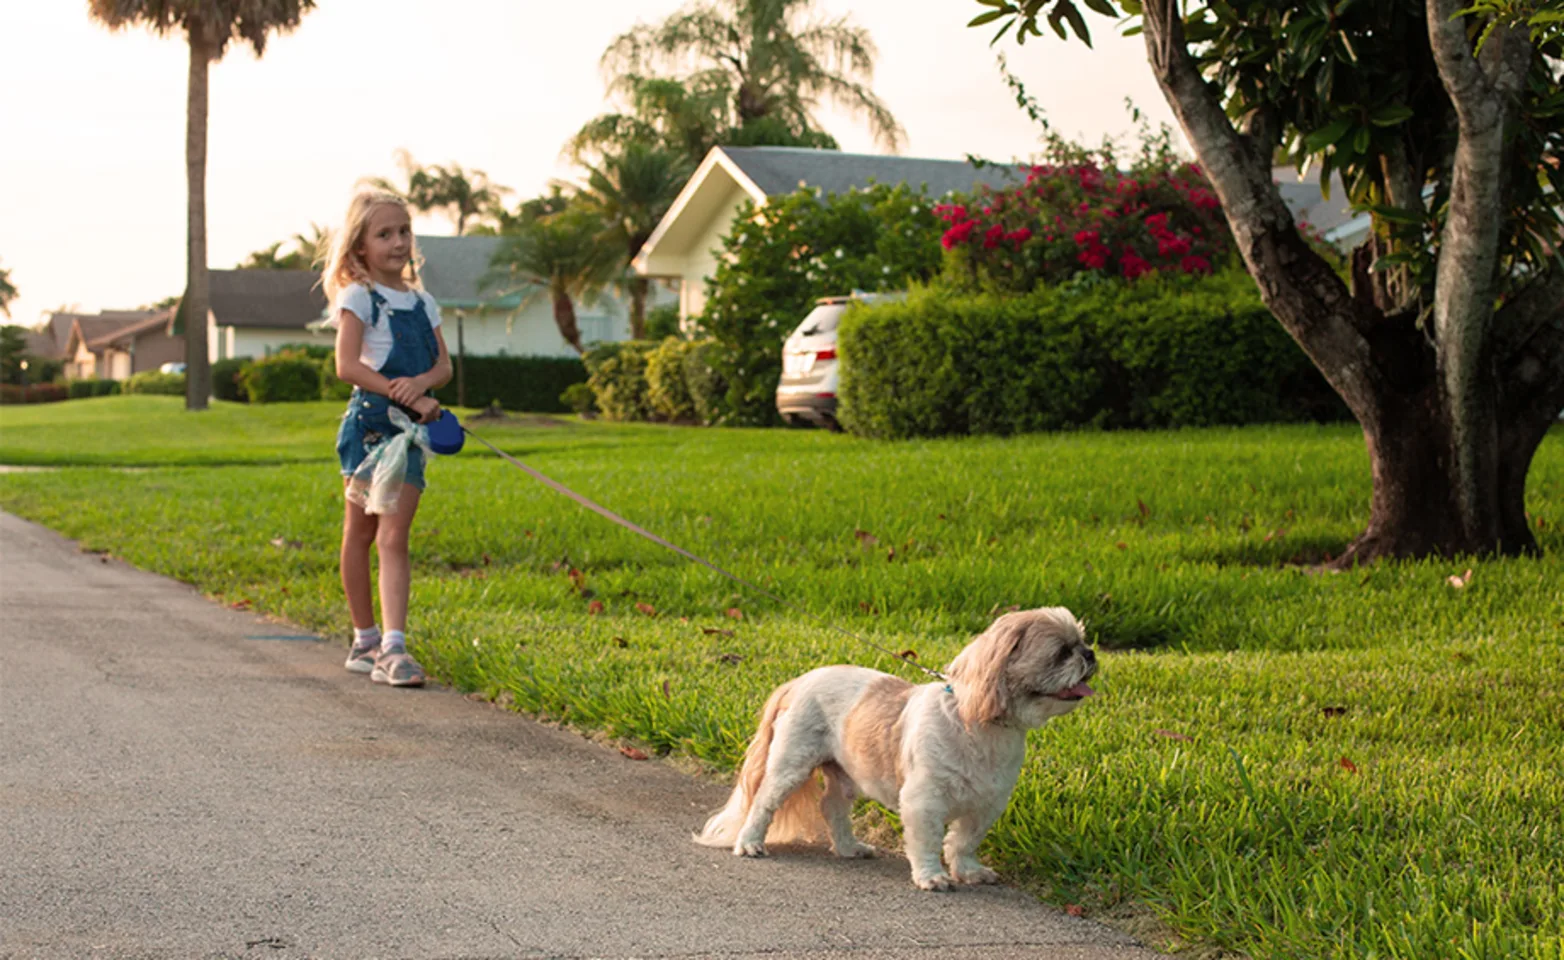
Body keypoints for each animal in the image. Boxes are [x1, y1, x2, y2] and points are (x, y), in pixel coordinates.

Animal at [697, 609, 1101, 894]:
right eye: (1061, 652)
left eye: (1082, 640)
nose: (1090, 654)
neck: (980, 726)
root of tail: (799, 681)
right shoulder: (924, 800)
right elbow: (928, 840)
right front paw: (932, 877)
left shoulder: (987, 802)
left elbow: (964, 841)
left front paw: (968, 871)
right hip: (791, 764)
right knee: (764, 803)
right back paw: (750, 843)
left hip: (846, 773)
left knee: (833, 807)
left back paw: (849, 847)